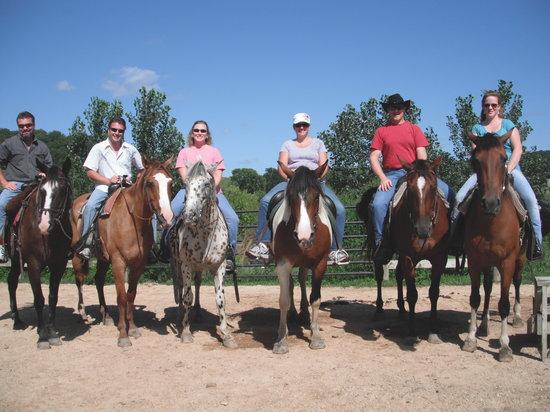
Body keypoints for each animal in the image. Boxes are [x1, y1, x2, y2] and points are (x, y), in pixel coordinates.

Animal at [6, 159, 73, 350]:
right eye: (42, 191)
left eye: (62, 189)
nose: (43, 225)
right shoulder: (33, 263)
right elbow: (38, 299)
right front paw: (43, 337)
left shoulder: (59, 264)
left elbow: (52, 297)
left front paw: (52, 333)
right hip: (16, 258)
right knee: (12, 282)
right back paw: (17, 321)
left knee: (11, 281)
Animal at [71, 158, 174, 348]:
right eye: (150, 183)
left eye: (170, 183)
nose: (167, 217)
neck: (131, 220)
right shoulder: (119, 262)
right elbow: (121, 297)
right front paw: (123, 335)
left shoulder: (138, 264)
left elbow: (131, 295)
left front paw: (132, 328)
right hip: (78, 255)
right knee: (79, 280)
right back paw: (82, 313)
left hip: (103, 258)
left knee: (98, 280)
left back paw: (106, 316)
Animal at [170, 161, 235, 348]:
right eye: (186, 184)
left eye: (207, 184)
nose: (189, 215)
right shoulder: (186, 266)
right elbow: (187, 297)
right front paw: (186, 332)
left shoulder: (219, 266)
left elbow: (220, 299)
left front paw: (226, 335)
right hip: (178, 265)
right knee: (181, 288)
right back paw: (180, 316)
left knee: (198, 284)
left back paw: (198, 312)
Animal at [272, 161, 332, 354]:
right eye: (291, 197)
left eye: (316, 197)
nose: (304, 237)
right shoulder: (283, 264)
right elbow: (283, 300)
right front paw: (281, 339)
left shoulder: (320, 264)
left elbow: (316, 299)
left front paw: (316, 336)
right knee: (292, 285)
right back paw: (293, 314)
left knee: (302, 279)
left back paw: (304, 313)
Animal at [464, 131, 528, 360]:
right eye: (475, 160)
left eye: (503, 158)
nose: (491, 203)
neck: (491, 222)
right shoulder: (474, 261)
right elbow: (475, 297)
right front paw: (471, 339)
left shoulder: (507, 262)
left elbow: (503, 303)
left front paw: (504, 346)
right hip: (488, 262)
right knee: (488, 287)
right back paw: (483, 326)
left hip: (520, 259)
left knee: (517, 283)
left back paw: (517, 318)